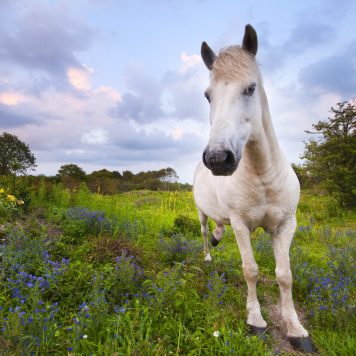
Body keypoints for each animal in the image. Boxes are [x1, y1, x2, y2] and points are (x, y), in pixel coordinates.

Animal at [193, 25, 312, 354]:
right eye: (208, 96)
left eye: (250, 88)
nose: (217, 158)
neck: (263, 176)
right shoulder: (241, 224)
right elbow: (251, 270)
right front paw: (256, 320)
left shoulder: (285, 226)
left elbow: (285, 275)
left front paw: (295, 329)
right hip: (201, 213)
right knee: (206, 232)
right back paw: (209, 255)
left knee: (218, 229)